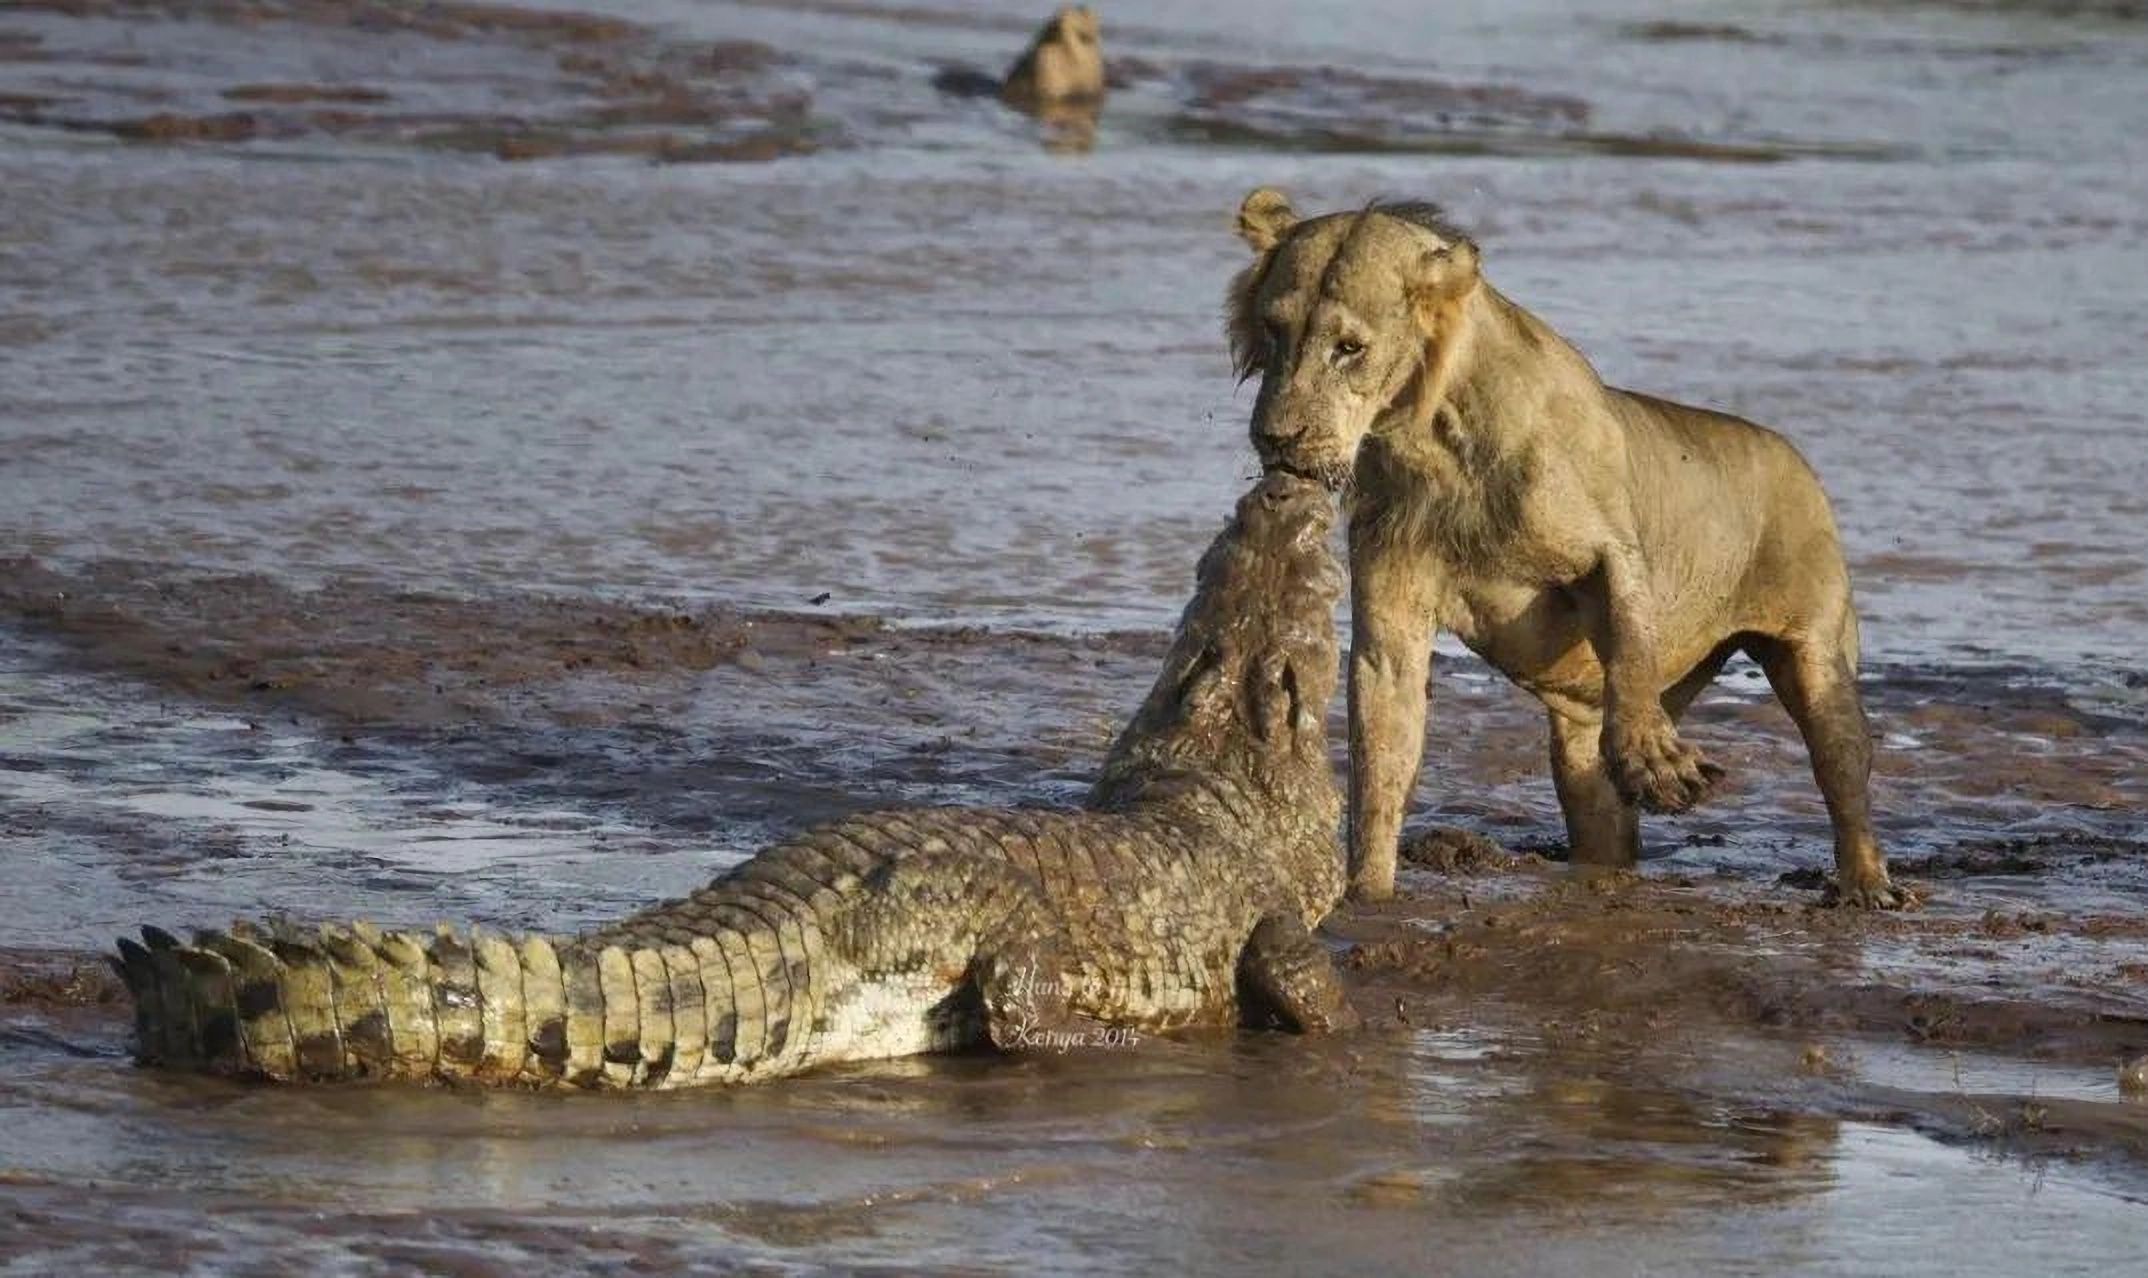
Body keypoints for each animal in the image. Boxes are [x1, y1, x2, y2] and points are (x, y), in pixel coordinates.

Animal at [1228, 187, 1916, 910]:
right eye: (1273, 329)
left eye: (1349, 347)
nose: (1276, 437)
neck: (1435, 442)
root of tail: (1794, 456)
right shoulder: (1394, 610)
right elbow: (1380, 757)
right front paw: (1366, 891)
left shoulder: (1608, 547)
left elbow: (1634, 649)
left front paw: (1654, 757)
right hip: (1583, 748)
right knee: (1600, 807)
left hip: (1815, 653)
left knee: (1842, 770)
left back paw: (1867, 886)